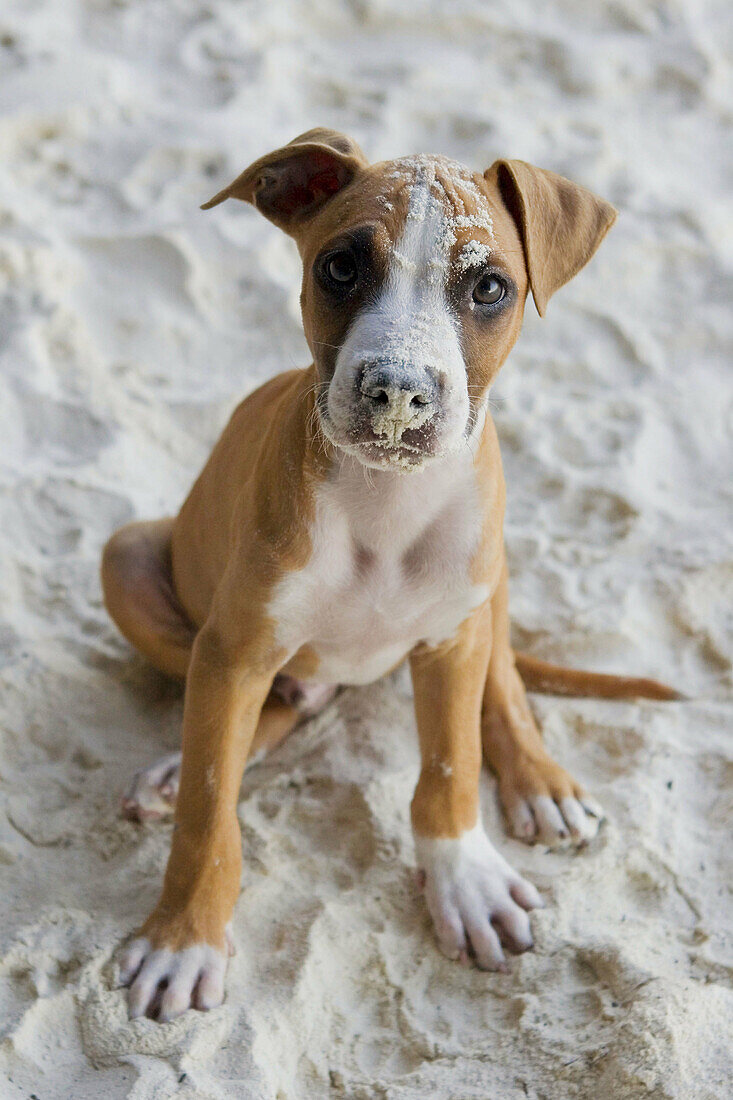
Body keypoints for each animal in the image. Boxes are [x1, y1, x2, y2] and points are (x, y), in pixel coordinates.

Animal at [101, 128, 673, 1020]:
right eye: (339, 267)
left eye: (489, 287)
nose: (398, 393)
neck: (384, 505)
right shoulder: (232, 652)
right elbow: (209, 807)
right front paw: (183, 937)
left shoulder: (451, 639)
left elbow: (450, 766)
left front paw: (464, 880)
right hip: (128, 559)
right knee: (273, 713)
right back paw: (172, 768)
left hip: (490, 580)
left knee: (501, 679)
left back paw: (539, 780)